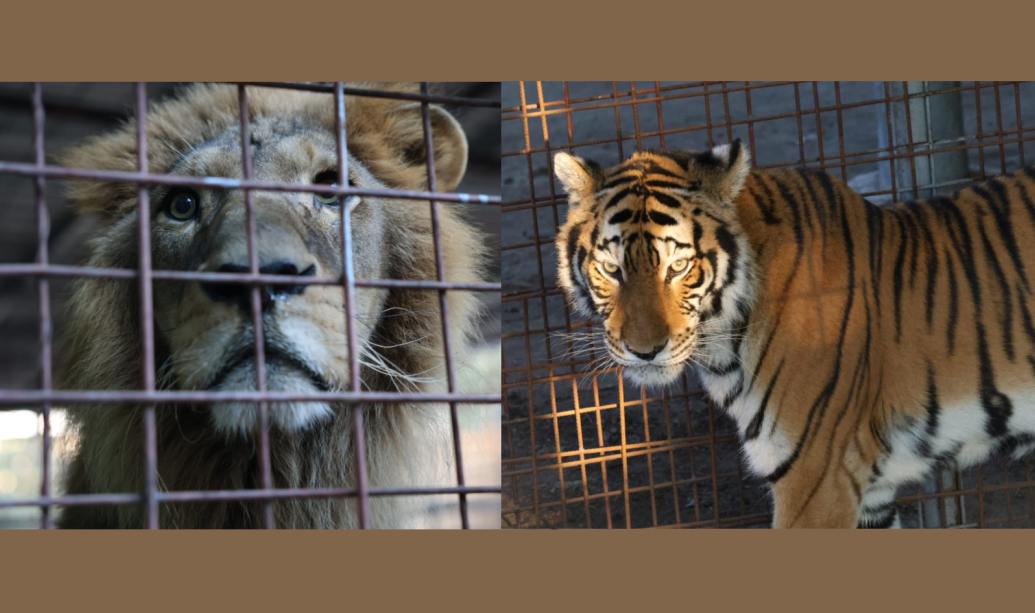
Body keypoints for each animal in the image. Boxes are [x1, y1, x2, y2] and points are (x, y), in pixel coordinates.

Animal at [553, 140, 1035, 528]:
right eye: (610, 269)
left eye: (679, 267)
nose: (644, 352)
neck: (726, 346)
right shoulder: (867, 494)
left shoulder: (816, 477)